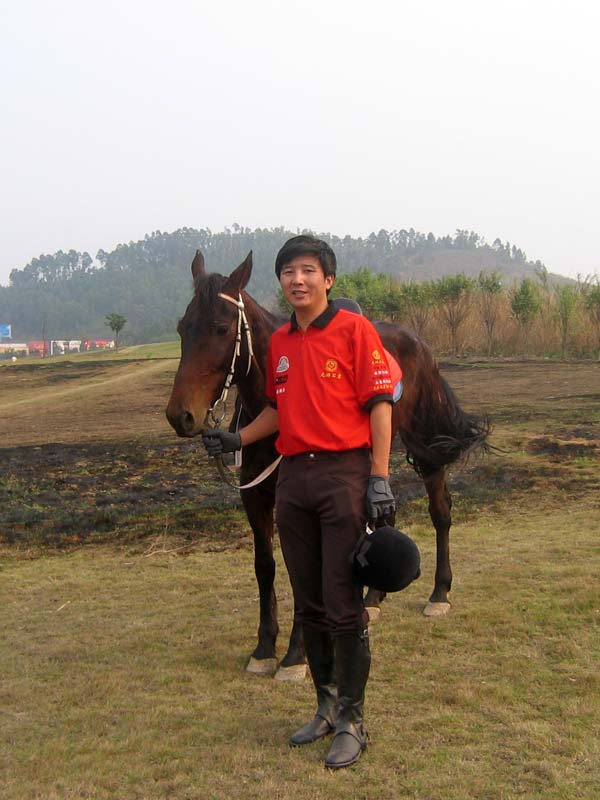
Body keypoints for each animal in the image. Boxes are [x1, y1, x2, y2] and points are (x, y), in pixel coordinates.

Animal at [164, 250, 488, 680]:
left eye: (220, 328)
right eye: (182, 327)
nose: (181, 415)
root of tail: (418, 342)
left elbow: (303, 571)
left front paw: (295, 654)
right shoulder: (256, 498)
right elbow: (265, 566)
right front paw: (264, 647)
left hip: (427, 447)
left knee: (441, 513)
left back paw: (439, 593)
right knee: (385, 518)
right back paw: (373, 599)